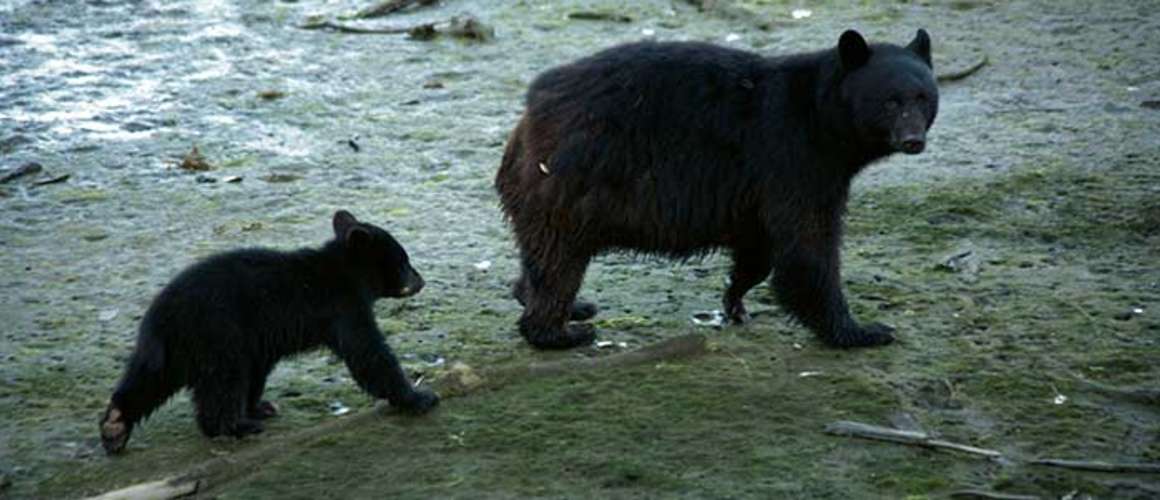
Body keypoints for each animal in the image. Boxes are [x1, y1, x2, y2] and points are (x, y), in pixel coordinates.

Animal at [99, 210, 439, 454]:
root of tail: (161, 313)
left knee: (150, 378)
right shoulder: (343, 307)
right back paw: (233, 427)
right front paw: (419, 396)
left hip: (173, 348)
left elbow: (259, 370)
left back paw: (115, 426)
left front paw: (259, 406)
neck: (344, 270)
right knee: (223, 381)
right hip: (217, 333)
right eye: (404, 261)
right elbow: (368, 353)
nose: (421, 280)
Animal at [495, 29, 937, 349]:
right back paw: (559, 332)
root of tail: (529, 113)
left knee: (540, 256)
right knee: (559, 262)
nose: (913, 140)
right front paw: (862, 330)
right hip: (573, 183)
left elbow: (759, 248)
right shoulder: (793, 158)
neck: (822, 116)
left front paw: (735, 298)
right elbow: (807, 247)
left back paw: (557, 303)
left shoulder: (757, 189)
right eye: (890, 101)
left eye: (924, 97)